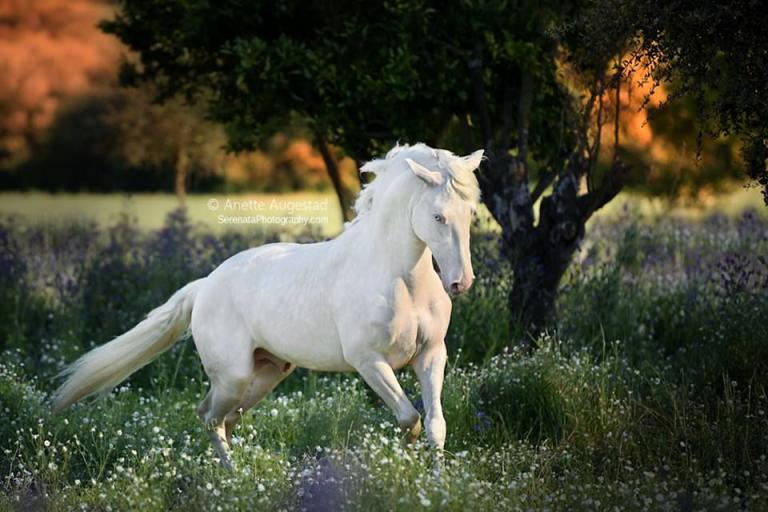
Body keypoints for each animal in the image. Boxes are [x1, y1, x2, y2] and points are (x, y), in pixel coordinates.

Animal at [52, 143, 484, 469]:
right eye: (438, 216)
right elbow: (409, 418)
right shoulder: (369, 361)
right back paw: (231, 478)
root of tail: (204, 287)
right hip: (234, 375)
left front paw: (431, 483)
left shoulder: (431, 355)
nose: (460, 283)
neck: (400, 279)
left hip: (267, 373)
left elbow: (434, 425)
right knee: (210, 417)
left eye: (470, 212)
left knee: (224, 418)